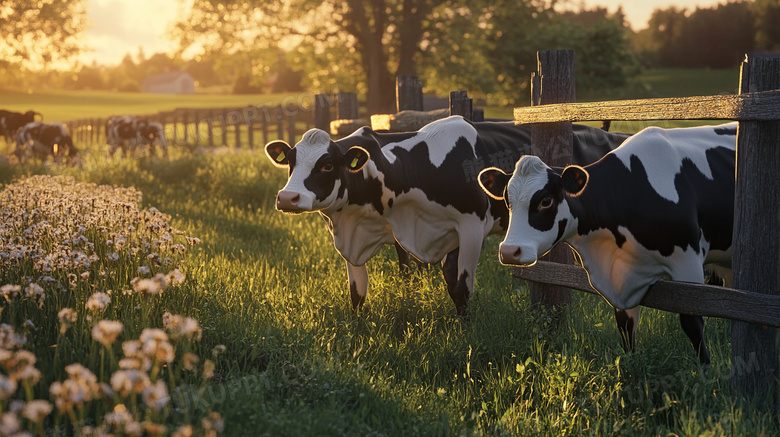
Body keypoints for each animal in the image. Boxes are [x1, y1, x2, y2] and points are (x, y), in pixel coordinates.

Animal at [266, 116, 632, 314]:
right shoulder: (356, 233)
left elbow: (460, 288)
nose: (287, 197)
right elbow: (357, 294)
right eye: (290, 161)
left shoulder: (470, 227)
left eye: (327, 164)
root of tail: (607, 132)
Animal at [482, 122, 736, 364]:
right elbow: (625, 328)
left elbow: (693, 324)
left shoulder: (688, 263)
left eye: (546, 201)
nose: (509, 251)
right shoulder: (621, 279)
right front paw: (631, 366)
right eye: (507, 200)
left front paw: (704, 370)